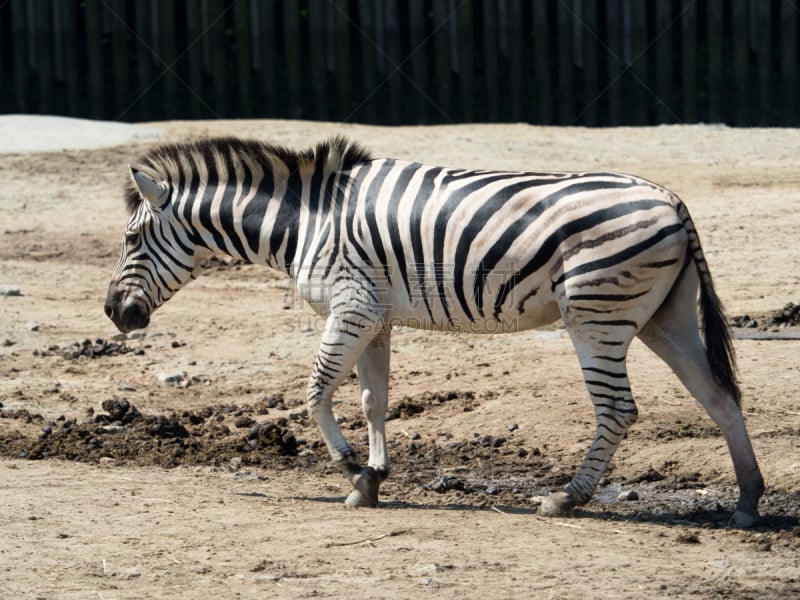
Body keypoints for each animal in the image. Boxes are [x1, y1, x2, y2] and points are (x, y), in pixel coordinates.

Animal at [104, 135, 764, 524]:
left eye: (132, 240)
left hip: (595, 314)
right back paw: (748, 502)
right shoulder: (374, 316)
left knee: (619, 409)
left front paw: (353, 471)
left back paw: (567, 497)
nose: (113, 314)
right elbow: (372, 400)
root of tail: (672, 200)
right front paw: (373, 477)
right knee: (719, 396)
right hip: (664, 316)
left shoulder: (351, 308)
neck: (306, 220)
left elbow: (315, 394)